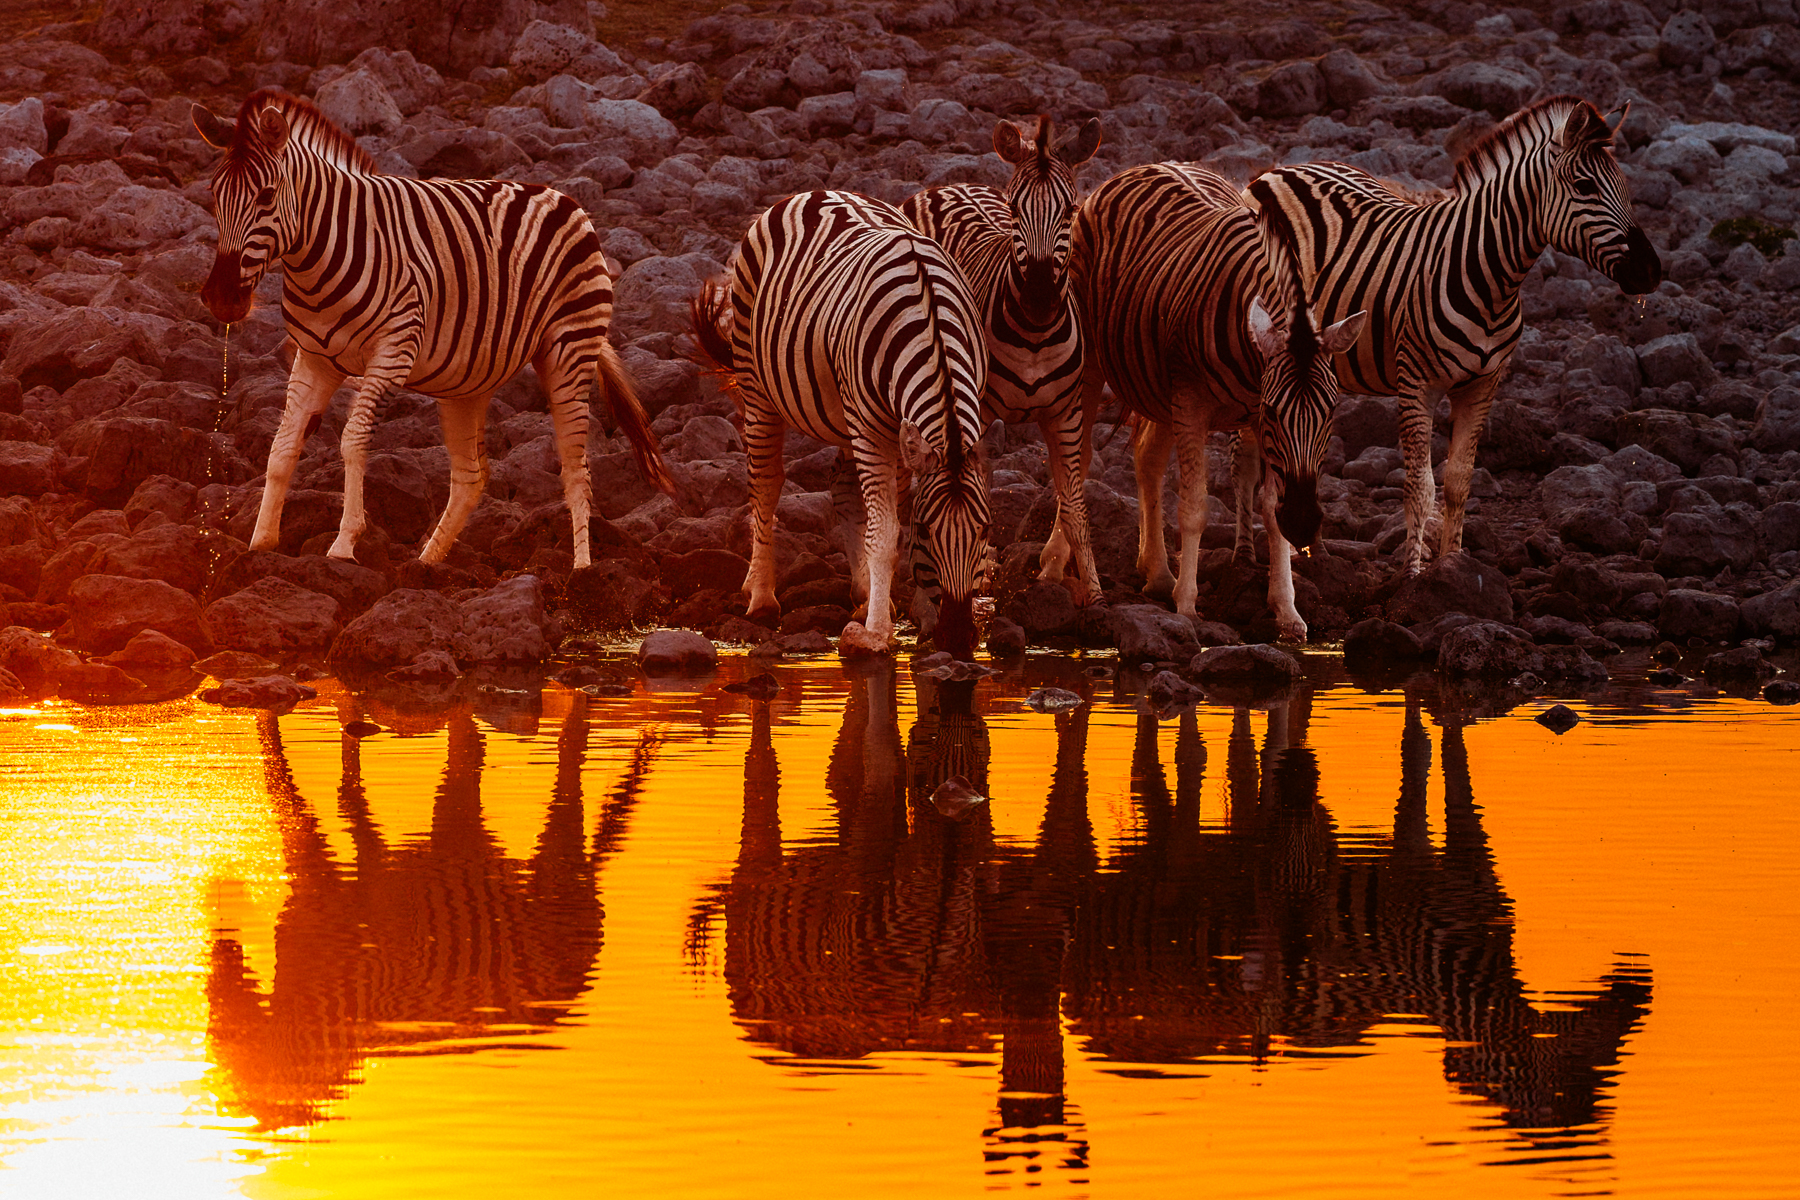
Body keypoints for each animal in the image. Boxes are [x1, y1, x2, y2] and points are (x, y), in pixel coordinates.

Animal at [190, 89, 674, 569]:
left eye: (267, 195)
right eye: (214, 195)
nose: (221, 298)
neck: (320, 255)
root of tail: (561, 197)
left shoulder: (393, 351)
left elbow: (352, 441)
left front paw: (344, 545)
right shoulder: (315, 358)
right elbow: (283, 446)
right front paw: (260, 544)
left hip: (569, 352)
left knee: (576, 470)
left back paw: (582, 569)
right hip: (468, 381)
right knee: (471, 476)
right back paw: (425, 565)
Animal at [691, 190, 994, 659]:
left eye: (984, 529)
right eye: (927, 532)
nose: (959, 641)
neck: (933, 331)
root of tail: (812, 192)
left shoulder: (900, 424)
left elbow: (887, 527)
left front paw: (901, 614)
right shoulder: (871, 427)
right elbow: (885, 534)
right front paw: (879, 632)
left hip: (848, 413)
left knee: (846, 487)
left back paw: (864, 594)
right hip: (759, 385)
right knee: (766, 485)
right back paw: (762, 598)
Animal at [901, 114, 1102, 606]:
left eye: (1070, 210)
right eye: (1014, 209)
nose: (1038, 298)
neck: (1034, 337)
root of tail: (948, 184)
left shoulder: (1066, 414)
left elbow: (1075, 509)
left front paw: (1094, 595)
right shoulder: (976, 412)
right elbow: (972, 494)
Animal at [1069, 162, 1367, 640]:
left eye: (1332, 412)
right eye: (1274, 410)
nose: (1304, 522)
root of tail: (1146, 166)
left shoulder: (1241, 415)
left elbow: (1269, 510)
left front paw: (1287, 611)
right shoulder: (1194, 403)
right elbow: (1194, 507)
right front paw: (1188, 607)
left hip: (1159, 388)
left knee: (1147, 458)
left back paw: (1158, 573)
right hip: (1094, 361)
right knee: (1076, 458)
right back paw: (1058, 567)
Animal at [1244, 95, 1663, 575]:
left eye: (1624, 185)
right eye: (1584, 185)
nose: (1652, 271)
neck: (1490, 279)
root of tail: (1281, 168)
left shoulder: (1483, 385)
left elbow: (1459, 481)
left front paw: (1454, 568)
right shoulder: (1416, 386)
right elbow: (1420, 486)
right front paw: (1413, 576)